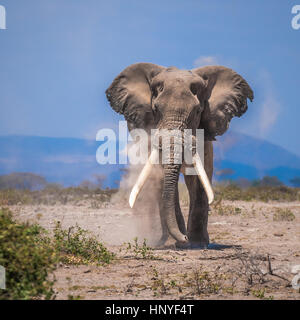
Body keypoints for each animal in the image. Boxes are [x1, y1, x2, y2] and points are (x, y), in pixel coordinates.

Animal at [105, 62, 253, 248]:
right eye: (155, 109)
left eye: (197, 111)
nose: (184, 238)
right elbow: (164, 180)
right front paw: (177, 241)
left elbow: (199, 179)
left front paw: (197, 243)